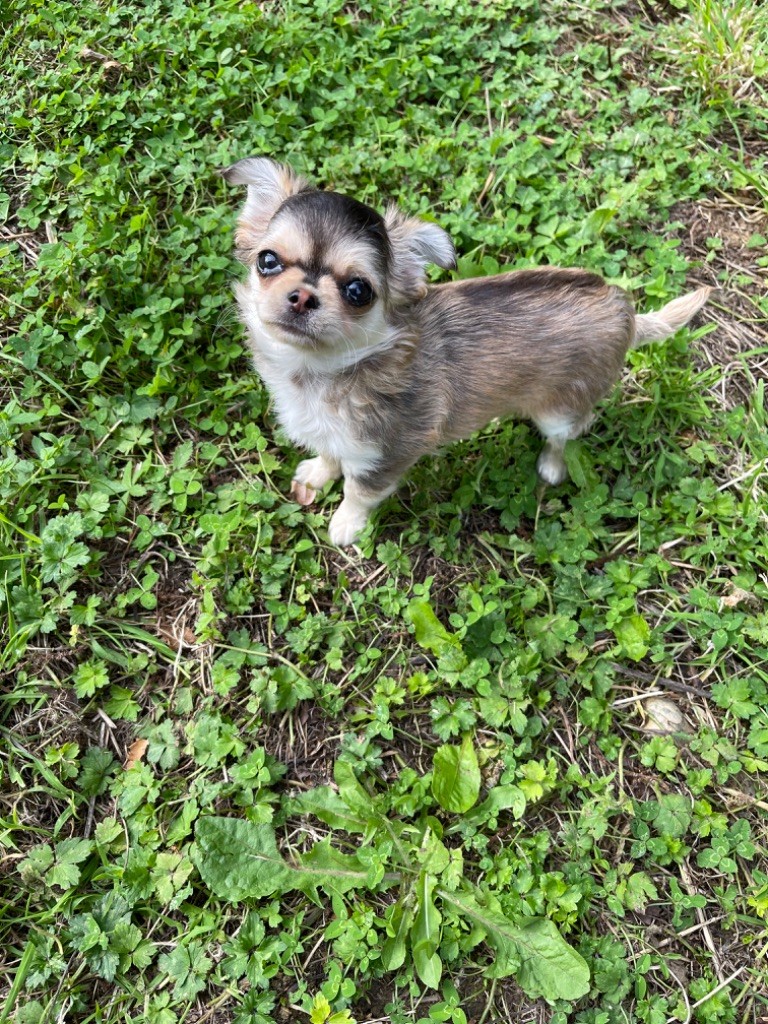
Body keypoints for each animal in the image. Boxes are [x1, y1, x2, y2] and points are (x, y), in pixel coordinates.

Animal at [222, 157, 716, 544]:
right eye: (268, 261)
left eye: (358, 291)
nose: (303, 296)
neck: (319, 372)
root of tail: (621, 306)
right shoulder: (335, 435)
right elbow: (329, 454)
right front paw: (315, 474)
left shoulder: (387, 454)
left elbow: (358, 492)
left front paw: (346, 527)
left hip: (558, 409)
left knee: (568, 433)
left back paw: (551, 466)